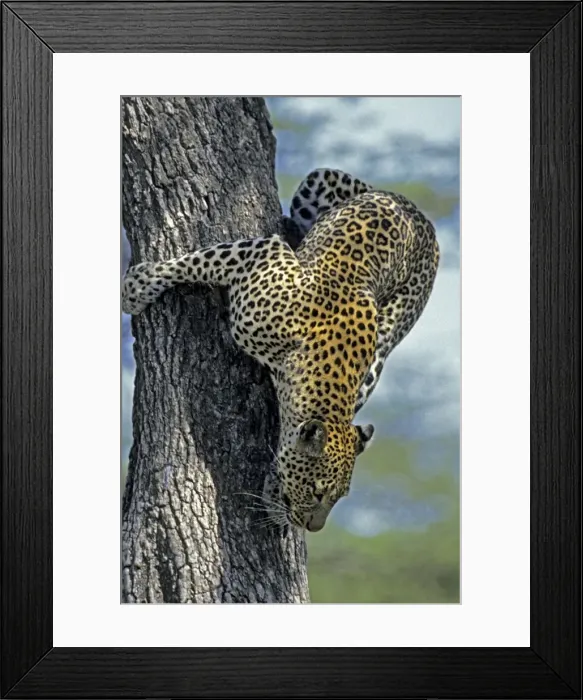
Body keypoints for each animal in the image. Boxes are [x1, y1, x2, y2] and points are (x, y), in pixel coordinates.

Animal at [122, 168, 440, 532]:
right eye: (317, 492)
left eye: (339, 497)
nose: (314, 527)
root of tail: (425, 221)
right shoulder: (263, 251)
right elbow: (196, 261)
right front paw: (137, 287)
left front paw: (275, 493)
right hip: (319, 180)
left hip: (388, 338)